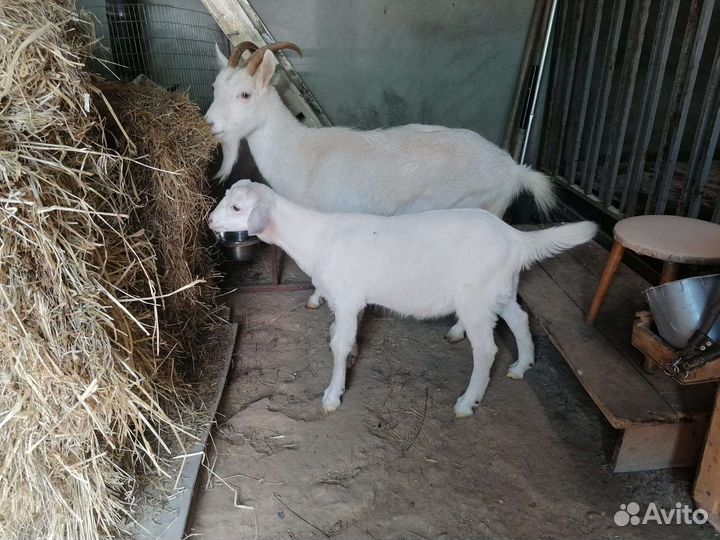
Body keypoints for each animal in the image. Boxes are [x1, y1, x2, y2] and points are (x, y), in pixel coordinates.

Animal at [205, 42, 557, 313]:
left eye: (244, 94)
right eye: (215, 88)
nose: (208, 124)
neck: (300, 154)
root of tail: (512, 169)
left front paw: (317, 298)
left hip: (487, 207)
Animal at [208, 180, 597, 417]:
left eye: (238, 208)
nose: (210, 221)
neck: (315, 237)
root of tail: (516, 238)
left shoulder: (347, 297)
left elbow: (337, 344)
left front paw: (333, 395)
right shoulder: (350, 301)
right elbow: (342, 337)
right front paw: (352, 358)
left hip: (476, 298)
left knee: (487, 350)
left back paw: (467, 402)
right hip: (499, 289)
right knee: (519, 319)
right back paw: (522, 365)